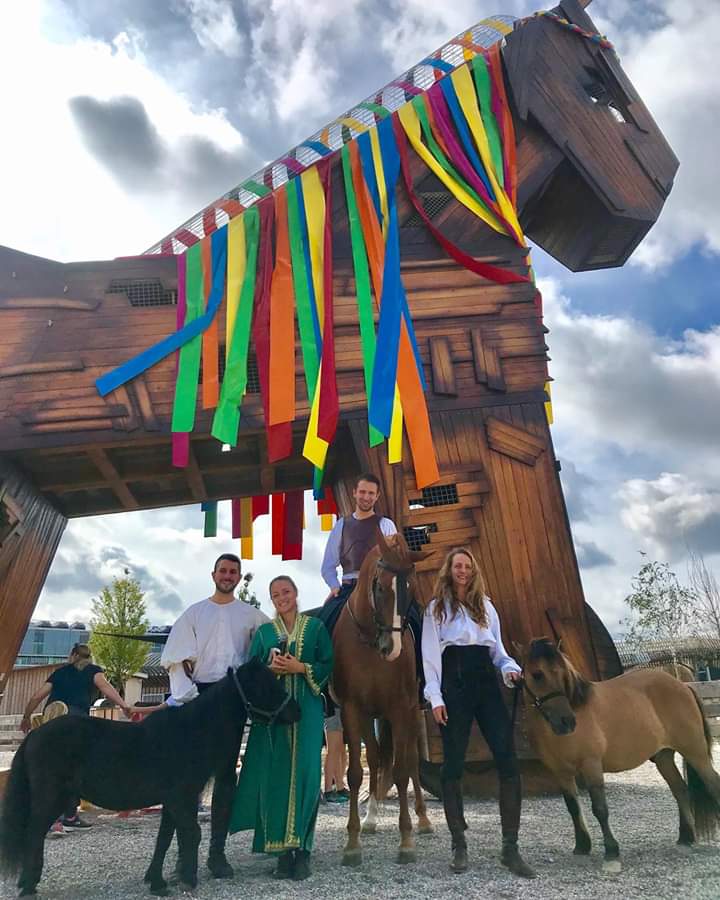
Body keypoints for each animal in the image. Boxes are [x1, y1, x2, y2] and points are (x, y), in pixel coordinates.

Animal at [0, 656, 300, 896]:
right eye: (265, 686)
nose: (295, 711)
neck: (192, 732)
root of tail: (34, 735)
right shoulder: (182, 798)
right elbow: (192, 833)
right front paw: (188, 880)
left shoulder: (173, 801)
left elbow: (165, 838)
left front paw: (157, 882)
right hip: (51, 797)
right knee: (34, 833)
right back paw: (28, 886)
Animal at [334, 536, 434, 864]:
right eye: (380, 588)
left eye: (411, 589)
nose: (392, 648)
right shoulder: (353, 711)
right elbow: (355, 773)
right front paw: (352, 843)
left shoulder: (401, 709)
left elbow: (402, 772)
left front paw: (406, 841)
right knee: (377, 758)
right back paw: (370, 819)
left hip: (411, 714)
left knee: (412, 762)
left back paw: (424, 820)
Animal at [516, 636, 720, 876]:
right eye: (537, 674)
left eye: (563, 674)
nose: (567, 722)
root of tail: (683, 686)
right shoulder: (561, 773)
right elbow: (573, 807)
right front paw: (582, 847)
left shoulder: (591, 766)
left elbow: (600, 809)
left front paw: (612, 853)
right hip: (663, 757)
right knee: (680, 789)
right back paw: (685, 839)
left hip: (695, 751)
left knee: (712, 784)